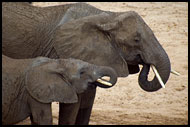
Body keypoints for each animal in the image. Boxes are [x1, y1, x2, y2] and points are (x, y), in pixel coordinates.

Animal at [1, 2, 171, 125]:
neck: (107, 16)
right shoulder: (62, 54)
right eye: (136, 40)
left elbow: (88, 101)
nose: (146, 64)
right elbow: (71, 105)